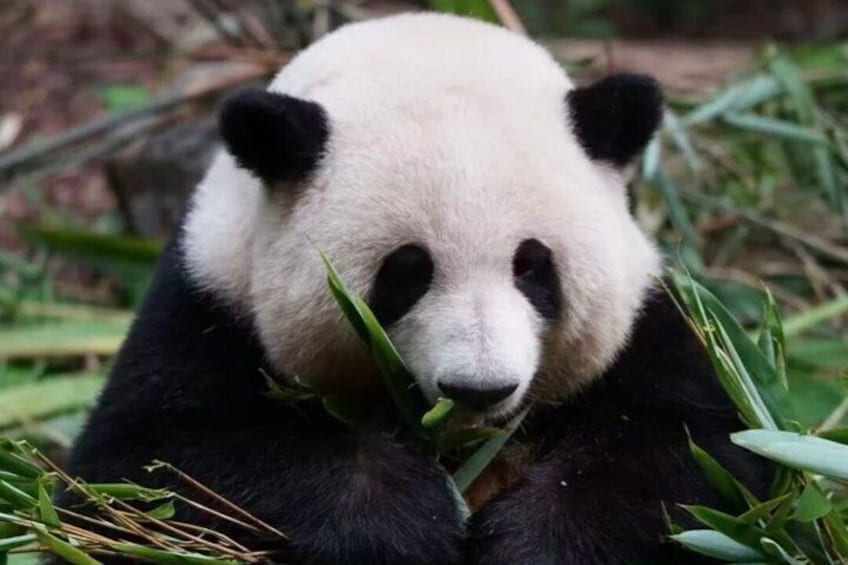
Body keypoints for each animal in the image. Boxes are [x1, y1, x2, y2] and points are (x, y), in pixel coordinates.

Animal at [65, 12, 769, 565]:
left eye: (532, 267)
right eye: (406, 273)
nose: (479, 389)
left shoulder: (649, 322)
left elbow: (697, 456)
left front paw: (534, 541)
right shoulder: (207, 298)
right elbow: (148, 464)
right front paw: (402, 522)